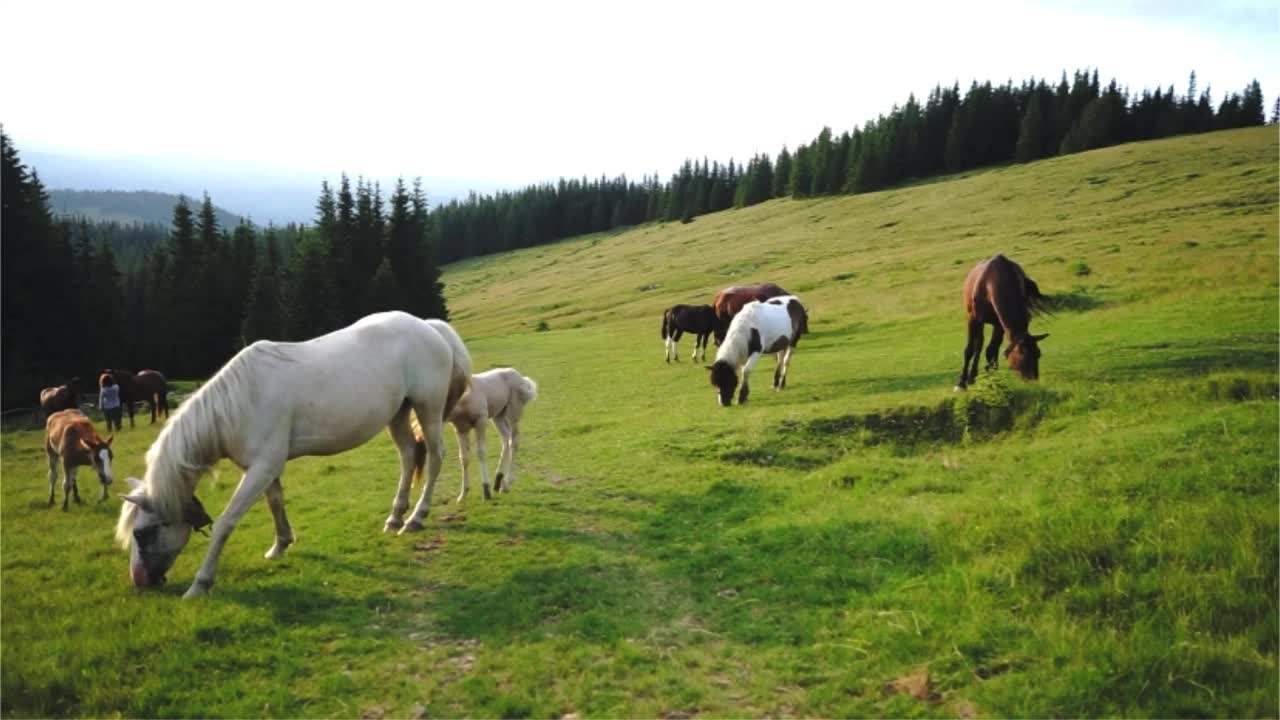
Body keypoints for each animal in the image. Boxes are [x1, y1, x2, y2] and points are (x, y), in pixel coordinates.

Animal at [115, 311, 473, 597]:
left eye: (142, 533)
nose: (139, 580)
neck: (237, 404)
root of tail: (428, 326)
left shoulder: (261, 467)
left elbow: (226, 522)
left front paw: (200, 584)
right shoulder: (264, 466)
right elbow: (275, 502)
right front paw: (280, 545)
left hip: (428, 409)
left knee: (435, 457)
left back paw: (415, 518)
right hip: (398, 414)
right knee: (409, 456)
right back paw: (396, 517)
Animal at [412, 366, 537, 502]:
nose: (420, 437)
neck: (462, 402)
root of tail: (522, 379)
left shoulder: (481, 421)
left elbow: (481, 452)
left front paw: (486, 490)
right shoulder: (461, 429)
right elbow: (464, 458)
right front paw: (463, 494)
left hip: (513, 413)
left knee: (514, 440)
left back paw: (507, 482)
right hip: (498, 416)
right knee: (506, 438)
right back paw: (499, 481)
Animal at [957, 254, 1054, 389]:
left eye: (1038, 354)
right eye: (1023, 356)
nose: (1033, 380)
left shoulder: (999, 324)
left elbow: (991, 350)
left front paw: (993, 378)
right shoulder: (973, 319)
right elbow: (969, 350)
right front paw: (961, 383)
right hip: (978, 321)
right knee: (978, 344)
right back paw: (971, 377)